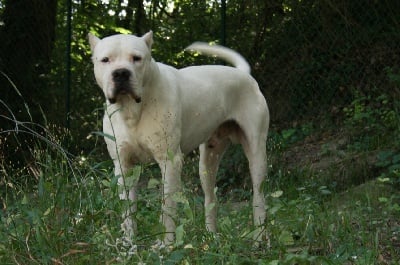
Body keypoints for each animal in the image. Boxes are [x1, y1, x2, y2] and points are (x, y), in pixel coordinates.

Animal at [87, 31, 268, 245]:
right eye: (106, 60)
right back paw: (211, 237)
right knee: (210, 198)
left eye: (137, 58)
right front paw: (128, 243)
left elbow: (168, 207)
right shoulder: (123, 166)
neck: (133, 109)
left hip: (257, 156)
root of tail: (244, 75)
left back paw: (259, 239)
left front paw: (167, 245)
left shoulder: (170, 162)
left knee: (259, 197)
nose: (121, 73)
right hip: (207, 162)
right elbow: (127, 210)